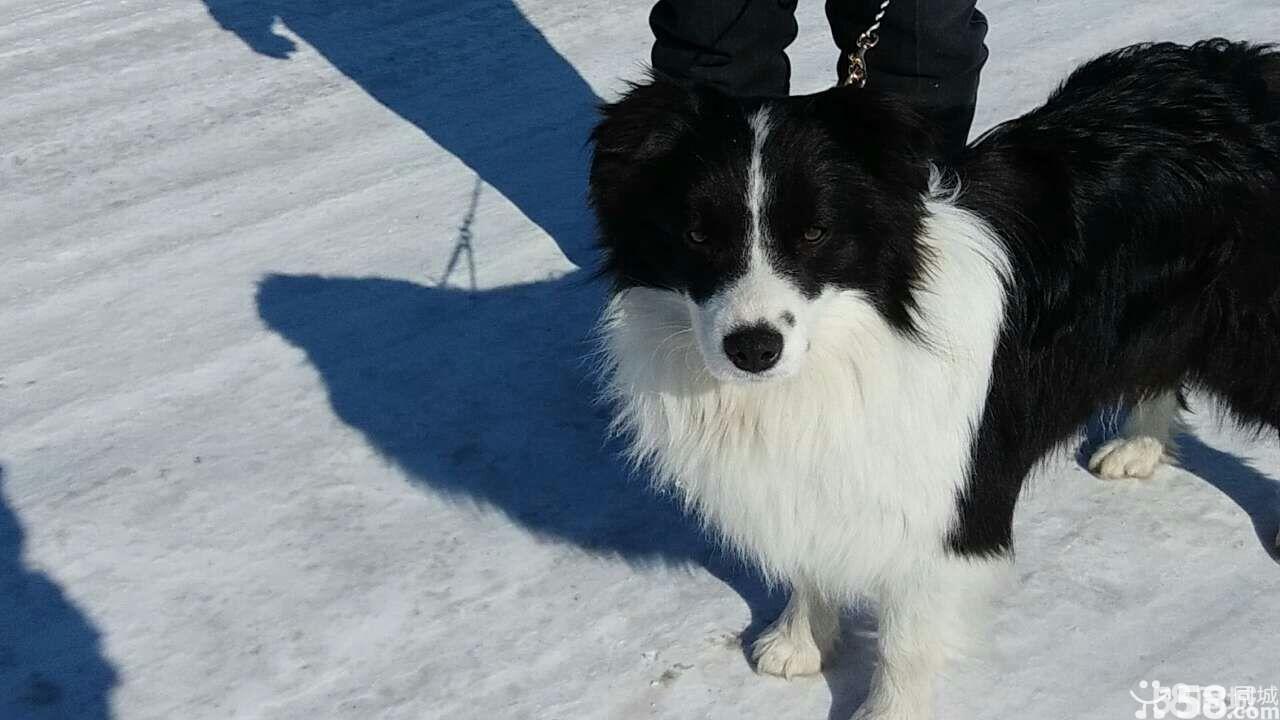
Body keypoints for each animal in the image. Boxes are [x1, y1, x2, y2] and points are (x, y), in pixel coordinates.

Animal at [586, 40, 1280, 717]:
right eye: (697, 234)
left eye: (814, 232)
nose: (753, 348)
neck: (861, 329)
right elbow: (812, 557)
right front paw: (800, 641)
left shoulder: (951, 500)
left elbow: (907, 637)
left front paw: (886, 710)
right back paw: (1139, 445)